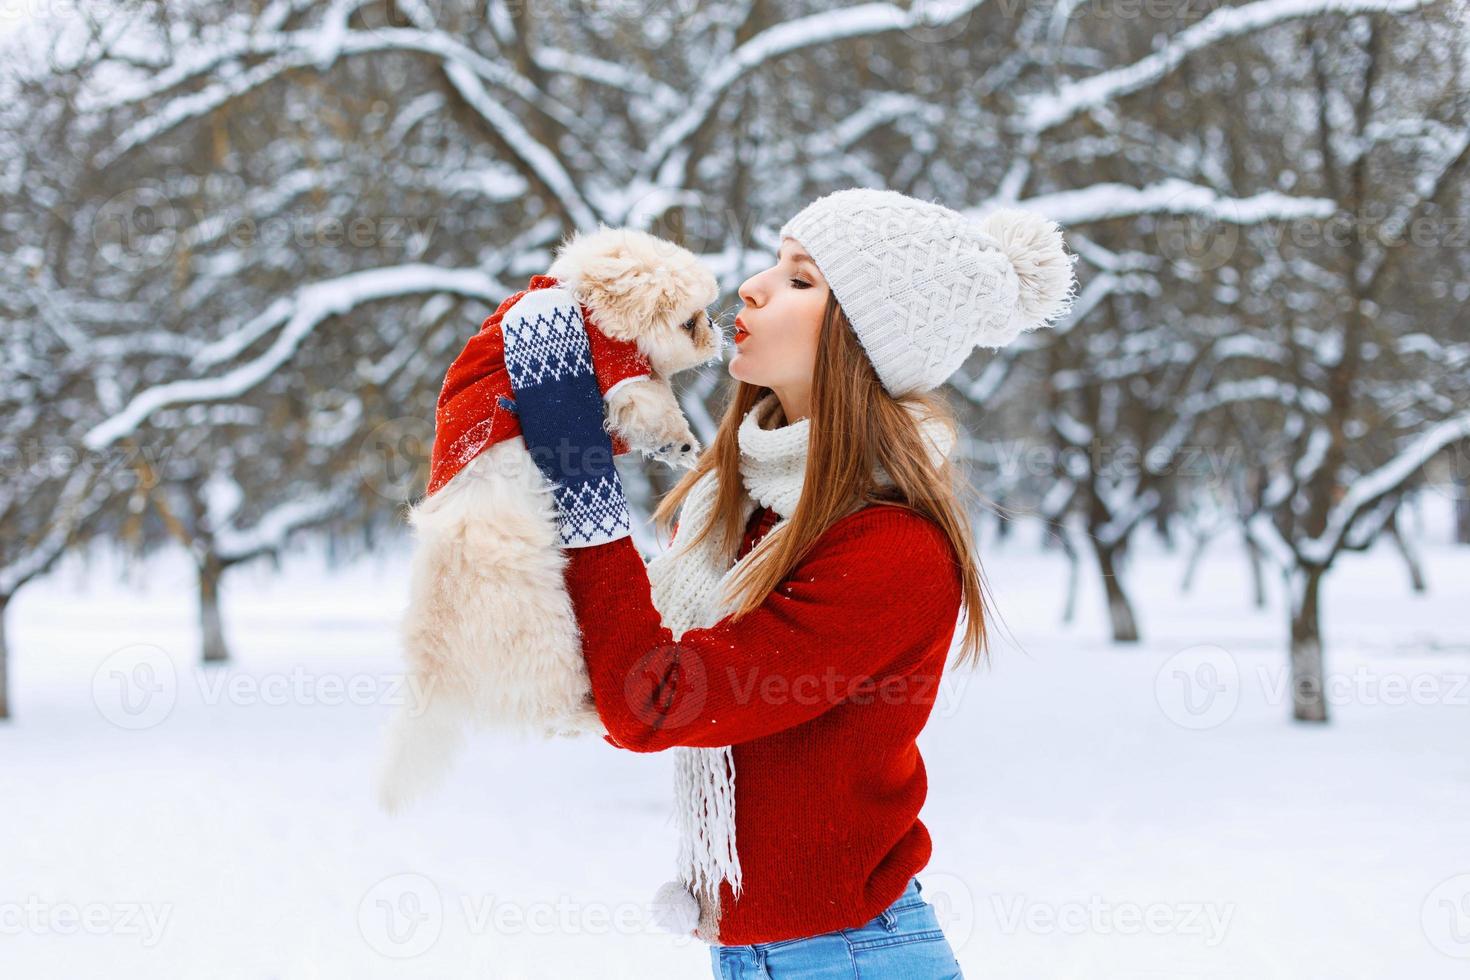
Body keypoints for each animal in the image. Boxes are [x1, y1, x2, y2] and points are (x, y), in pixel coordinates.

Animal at [379, 227, 723, 811]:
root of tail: (435, 654)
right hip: (551, 644)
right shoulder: (618, 374)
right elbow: (651, 401)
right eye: (688, 321)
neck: (583, 305)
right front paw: (677, 440)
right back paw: (593, 713)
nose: (715, 328)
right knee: (556, 713)